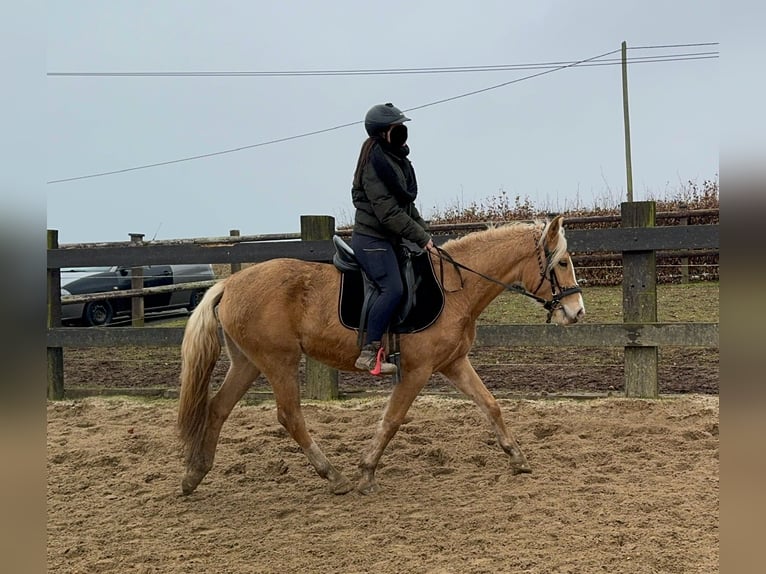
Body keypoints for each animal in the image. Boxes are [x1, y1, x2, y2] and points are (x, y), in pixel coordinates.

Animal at [178, 218, 588, 498]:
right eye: (562, 262)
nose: (577, 312)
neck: (455, 289)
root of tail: (229, 283)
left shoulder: (453, 363)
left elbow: (491, 405)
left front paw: (517, 457)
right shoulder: (418, 371)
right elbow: (392, 419)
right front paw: (366, 471)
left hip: (248, 363)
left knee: (217, 408)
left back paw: (195, 474)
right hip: (279, 362)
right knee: (289, 416)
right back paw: (335, 477)